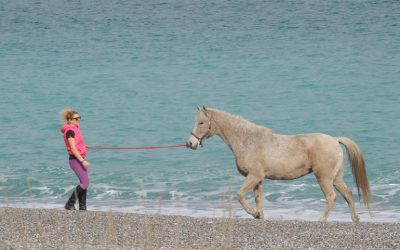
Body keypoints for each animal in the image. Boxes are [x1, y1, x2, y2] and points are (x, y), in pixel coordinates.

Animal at [188, 106, 372, 222]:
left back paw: (322, 219)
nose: (191, 143)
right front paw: (260, 216)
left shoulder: (253, 176)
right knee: (347, 194)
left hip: (324, 178)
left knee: (331, 197)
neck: (248, 141)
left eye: (201, 122)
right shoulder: (257, 179)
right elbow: (258, 199)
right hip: (336, 178)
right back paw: (355, 218)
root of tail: (334, 140)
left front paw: (254, 214)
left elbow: (240, 195)